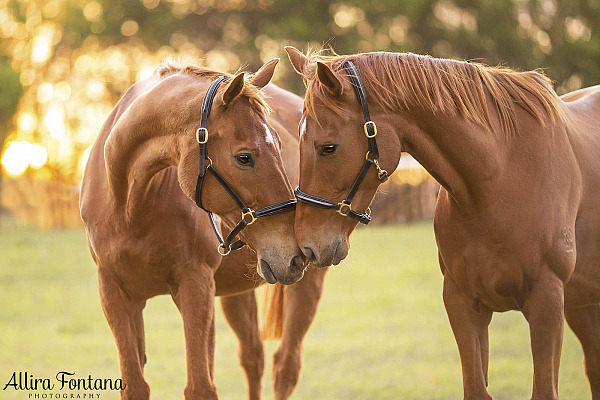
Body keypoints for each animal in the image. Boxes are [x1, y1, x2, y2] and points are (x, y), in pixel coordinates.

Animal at [80, 57, 328, 398]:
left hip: (306, 284)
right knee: (253, 357)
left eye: (278, 144)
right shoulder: (116, 295)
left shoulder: (194, 287)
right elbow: (135, 385)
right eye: (244, 157)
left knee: (285, 366)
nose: (293, 254)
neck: (130, 206)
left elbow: (200, 386)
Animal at [284, 47, 600, 400]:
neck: (500, 179)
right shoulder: (463, 304)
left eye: (328, 147)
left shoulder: (546, 305)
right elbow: (476, 388)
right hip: (582, 306)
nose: (307, 244)